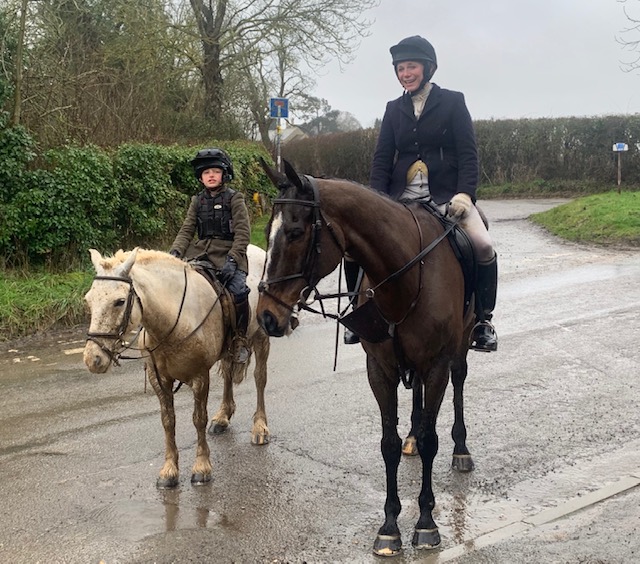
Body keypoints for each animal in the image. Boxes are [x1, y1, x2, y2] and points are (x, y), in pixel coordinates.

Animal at [82, 245, 270, 486]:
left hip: (262, 337)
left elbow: (198, 419)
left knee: (260, 379)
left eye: (120, 301)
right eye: (88, 300)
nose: (93, 359)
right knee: (228, 374)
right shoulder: (159, 379)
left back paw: (260, 427)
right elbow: (168, 421)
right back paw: (223, 417)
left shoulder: (200, 376)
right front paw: (169, 470)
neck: (173, 320)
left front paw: (202, 467)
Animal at [256, 161, 476, 556]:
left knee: (460, 382)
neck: (406, 279)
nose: (266, 316)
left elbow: (433, 439)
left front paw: (425, 522)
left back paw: (461, 449)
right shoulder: (381, 370)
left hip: (460, 347)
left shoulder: (436, 365)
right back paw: (412, 437)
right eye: (268, 232)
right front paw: (389, 526)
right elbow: (388, 444)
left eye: (296, 232)